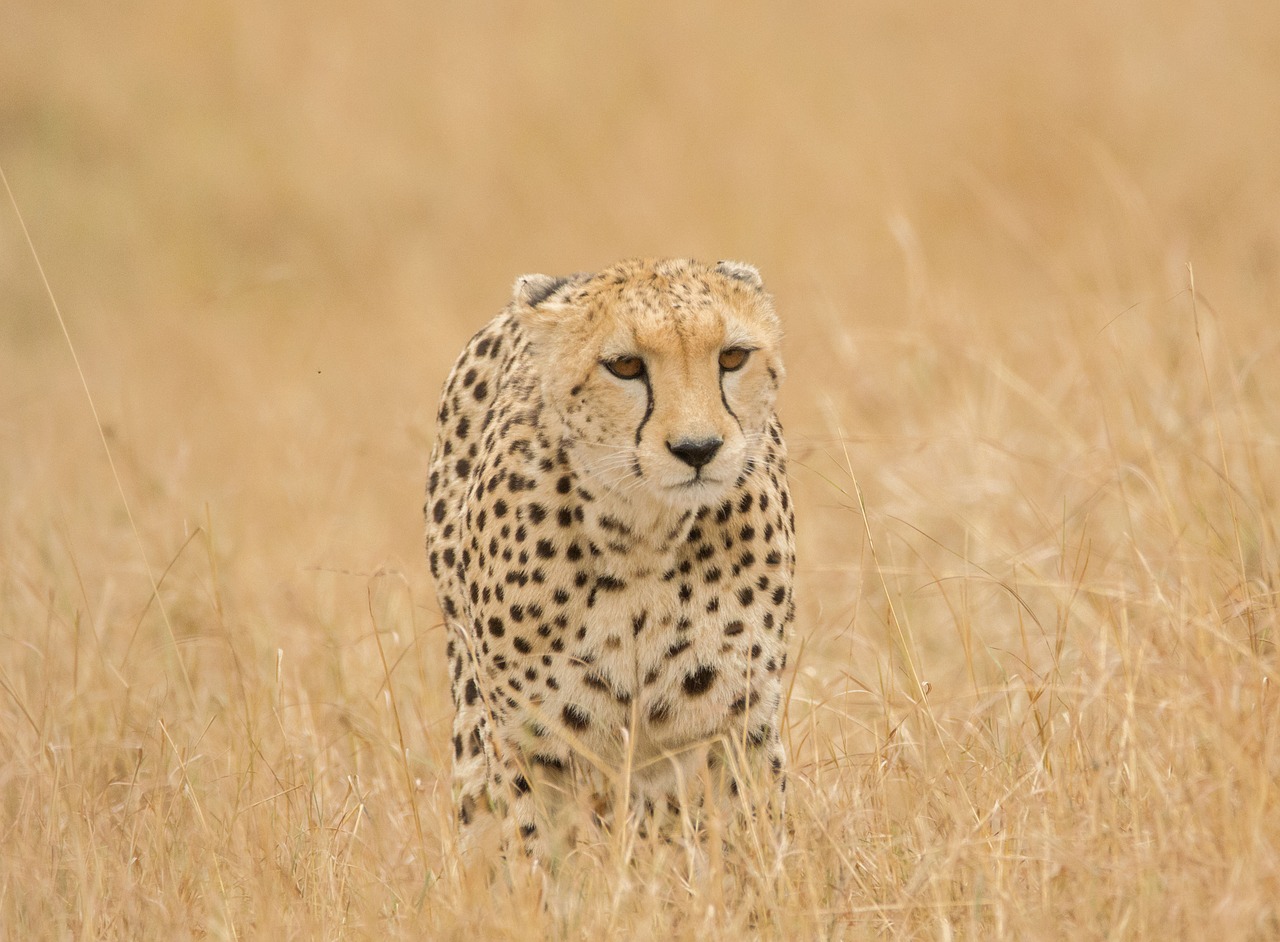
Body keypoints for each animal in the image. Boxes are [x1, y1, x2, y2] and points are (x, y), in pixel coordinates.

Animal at [424, 257, 793, 860]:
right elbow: (537, 851)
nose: (698, 449)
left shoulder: (740, 718)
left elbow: (752, 831)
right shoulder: (530, 740)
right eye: (625, 366)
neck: (644, 536)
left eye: (733, 357)